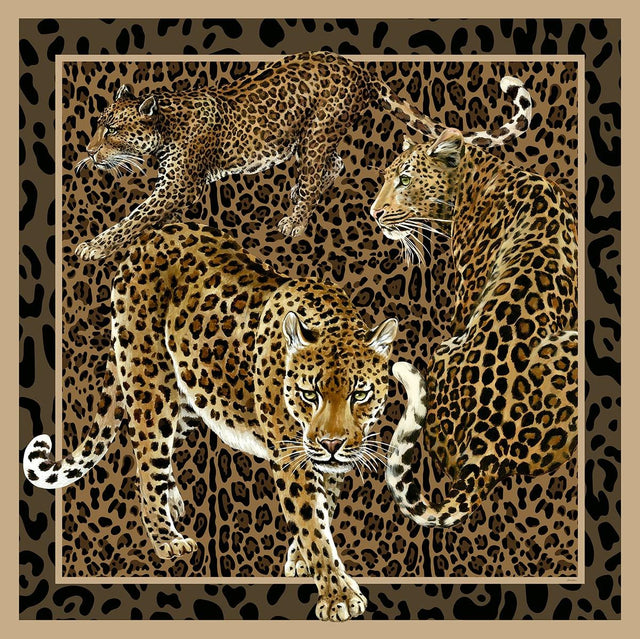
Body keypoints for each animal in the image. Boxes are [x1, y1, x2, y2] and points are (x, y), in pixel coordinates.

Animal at [23, 221, 401, 621]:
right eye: (308, 394)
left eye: (359, 394)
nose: (331, 444)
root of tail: (153, 236)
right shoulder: (291, 457)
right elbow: (311, 521)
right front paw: (338, 596)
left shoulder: (327, 461)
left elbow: (323, 507)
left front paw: (301, 561)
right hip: (150, 386)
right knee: (146, 461)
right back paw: (167, 539)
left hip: (192, 395)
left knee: (161, 455)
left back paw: (172, 499)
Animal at [73, 51, 532, 261]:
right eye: (98, 123)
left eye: (112, 130)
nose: (88, 152)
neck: (167, 122)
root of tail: (358, 67)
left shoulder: (179, 185)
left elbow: (135, 218)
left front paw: (94, 246)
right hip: (308, 138)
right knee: (333, 165)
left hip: (316, 131)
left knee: (320, 171)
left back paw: (295, 219)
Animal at [370, 127, 578, 528]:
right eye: (386, 177)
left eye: (405, 179)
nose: (375, 213)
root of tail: (490, 446)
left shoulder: (467, 294)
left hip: (444, 349)